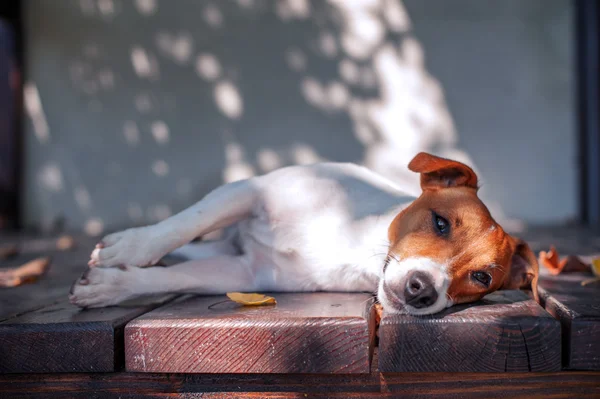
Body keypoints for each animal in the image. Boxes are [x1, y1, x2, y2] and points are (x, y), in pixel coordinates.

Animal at [70, 153, 540, 316]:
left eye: (481, 278)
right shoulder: (245, 190)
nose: (422, 290)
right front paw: (129, 249)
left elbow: (175, 277)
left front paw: (112, 286)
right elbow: (185, 222)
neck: (355, 238)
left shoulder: (245, 275)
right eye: (441, 223)